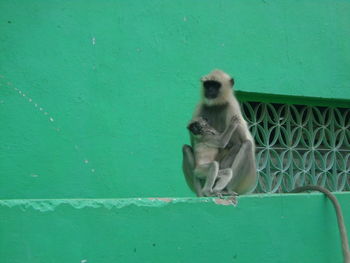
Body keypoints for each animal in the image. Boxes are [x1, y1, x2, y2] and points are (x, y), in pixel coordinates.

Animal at [183, 69, 258, 197]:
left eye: (215, 85)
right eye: (207, 84)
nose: (209, 90)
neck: (216, 105)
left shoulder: (232, 109)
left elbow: (238, 143)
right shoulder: (199, 109)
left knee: (247, 144)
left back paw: (226, 189)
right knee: (186, 148)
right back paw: (202, 192)